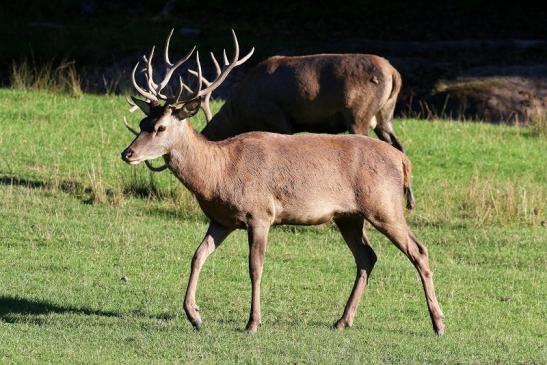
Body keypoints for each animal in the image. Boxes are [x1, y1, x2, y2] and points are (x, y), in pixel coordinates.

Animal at [121, 29, 446, 334]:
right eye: (142, 123)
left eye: (161, 127)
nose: (128, 153)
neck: (220, 175)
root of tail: (402, 162)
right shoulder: (222, 220)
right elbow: (197, 256)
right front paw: (194, 316)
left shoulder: (260, 213)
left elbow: (255, 267)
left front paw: (253, 322)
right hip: (349, 216)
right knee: (367, 257)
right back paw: (343, 320)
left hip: (384, 205)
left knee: (418, 250)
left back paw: (438, 323)